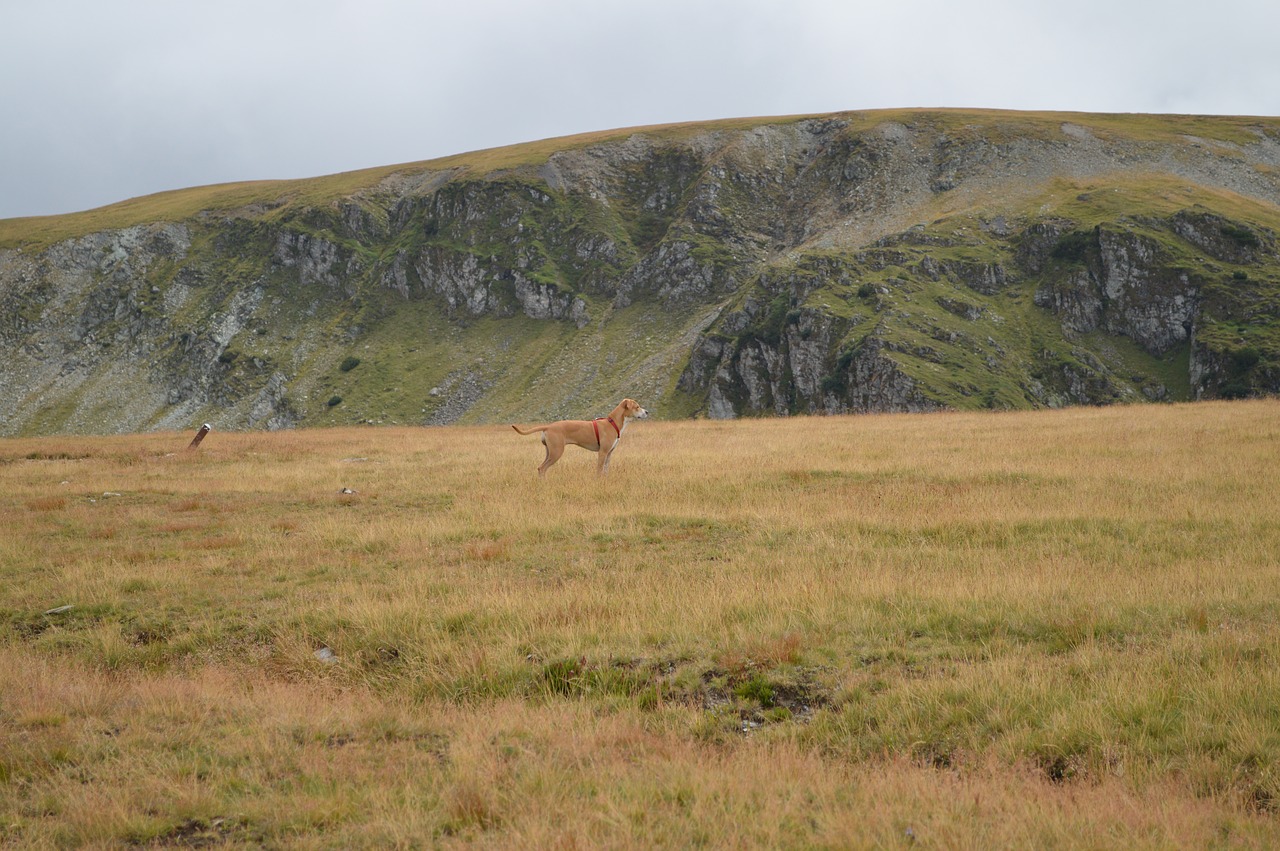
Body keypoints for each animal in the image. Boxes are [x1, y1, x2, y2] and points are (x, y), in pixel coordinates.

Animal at [512, 396, 650, 473]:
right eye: (637, 407)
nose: (647, 412)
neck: (613, 423)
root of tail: (549, 426)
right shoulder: (602, 452)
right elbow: (599, 471)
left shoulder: (609, 453)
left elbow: (605, 471)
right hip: (556, 451)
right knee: (543, 468)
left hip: (549, 451)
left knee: (540, 468)